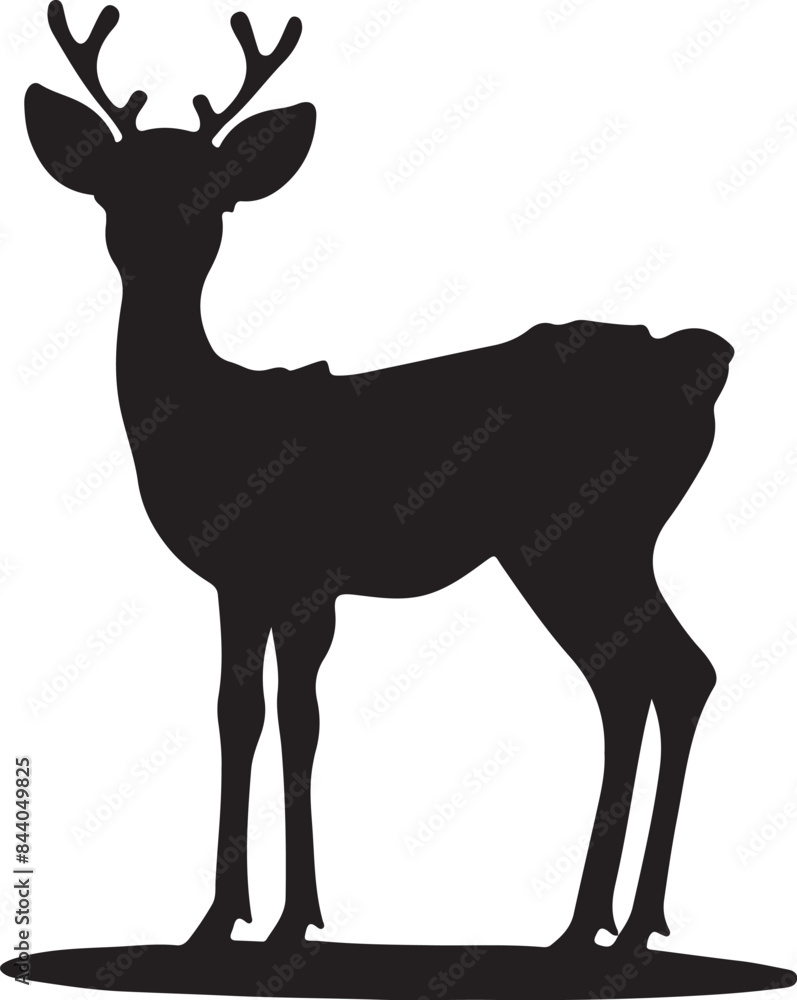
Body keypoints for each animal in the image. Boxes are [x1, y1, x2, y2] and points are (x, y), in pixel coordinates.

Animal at [25, 0, 733, 957]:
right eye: (111, 186)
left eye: (212, 191)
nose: (148, 245)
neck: (212, 420)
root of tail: (703, 360)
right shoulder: (243, 583)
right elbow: (238, 715)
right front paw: (220, 921)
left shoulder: (301, 575)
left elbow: (298, 723)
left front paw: (289, 922)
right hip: (591, 544)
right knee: (648, 680)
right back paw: (601, 926)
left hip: (584, 536)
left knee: (660, 676)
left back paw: (614, 930)